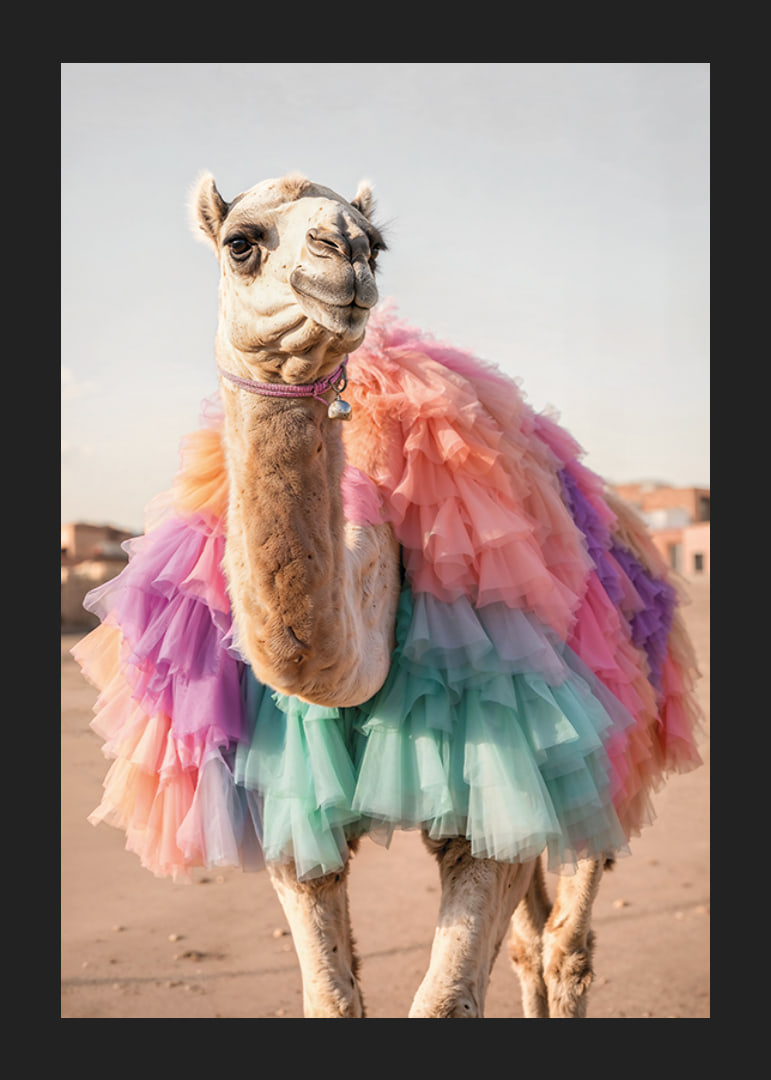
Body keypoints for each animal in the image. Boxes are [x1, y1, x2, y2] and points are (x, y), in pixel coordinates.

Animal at [73, 172, 702, 1018]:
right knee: (532, 939)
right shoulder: (291, 817)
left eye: (376, 241)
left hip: (604, 743)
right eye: (241, 242)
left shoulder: (495, 793)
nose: (343, 250)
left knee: (566, 940)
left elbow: (444, 1000)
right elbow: (332, 997)